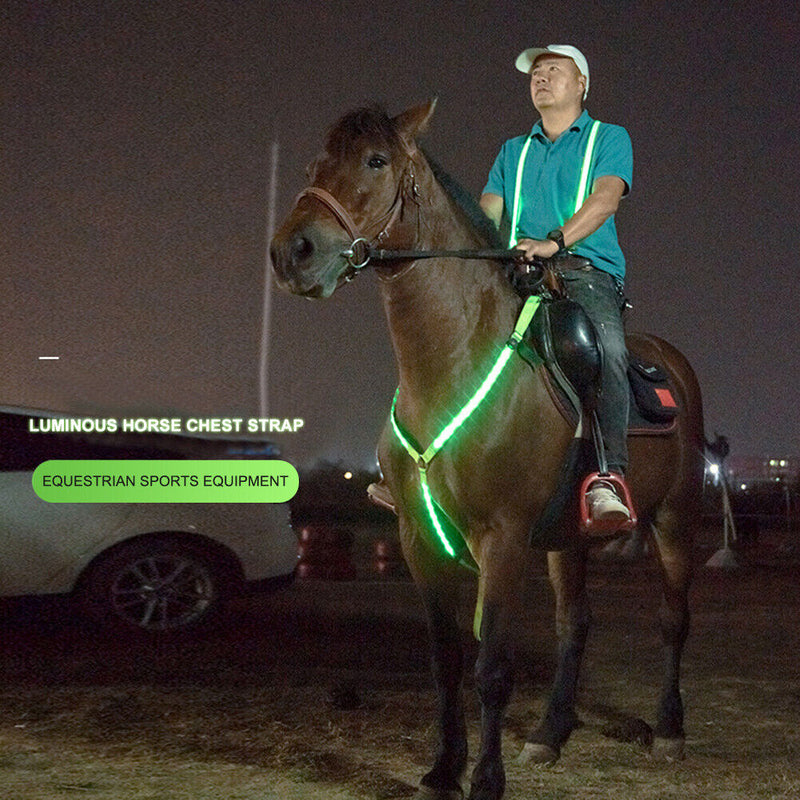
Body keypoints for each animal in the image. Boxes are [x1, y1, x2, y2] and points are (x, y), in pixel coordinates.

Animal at [271, 100, 704, 800]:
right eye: (314, 164)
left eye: (376, 161)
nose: (292, 252)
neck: (452, 359)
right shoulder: (420, 539)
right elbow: (447, 662)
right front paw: (443, 769)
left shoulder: (502, 540)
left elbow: (493, 667)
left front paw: (486, 779)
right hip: (568, 539)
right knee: (574, 625)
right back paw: (551, 732)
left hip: (674, 519)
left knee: (673, 618)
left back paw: (668, 729)